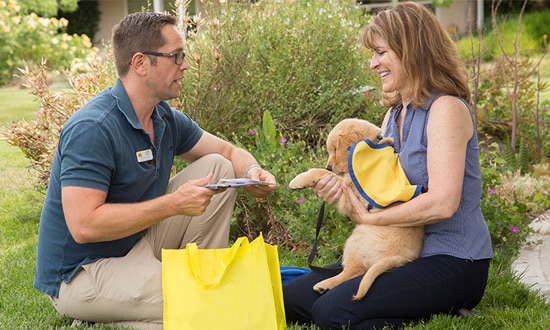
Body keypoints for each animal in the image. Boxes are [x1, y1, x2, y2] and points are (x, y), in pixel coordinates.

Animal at [292, 118, 424, 302]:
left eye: (335, 149)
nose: (329, 167)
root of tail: (402, 258)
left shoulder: (349, 187)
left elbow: (325, 175)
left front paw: (299, 179)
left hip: (357, 238)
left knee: (355, 271)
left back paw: (324, 284)